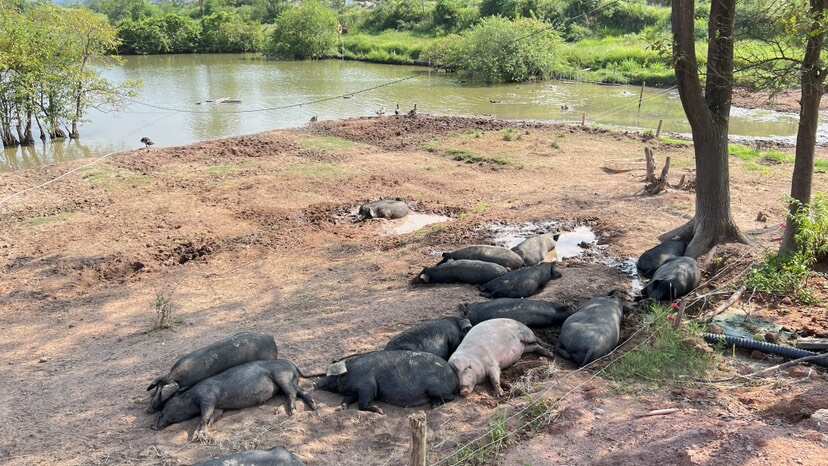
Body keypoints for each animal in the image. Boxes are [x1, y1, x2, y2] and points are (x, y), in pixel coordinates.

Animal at [151, 360, 314, 434]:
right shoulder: (218, 407)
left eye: (163, 410)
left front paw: (199, 434)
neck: (190, 397)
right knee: (300, 391)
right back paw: (312, 405)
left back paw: (292, 411)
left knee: (291, 393)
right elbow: (214, 415)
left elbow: (204, 415)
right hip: (289, 381)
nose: (153, 426)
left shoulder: (208, 397)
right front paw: (209, 426)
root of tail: (293, 365)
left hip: (282, 376)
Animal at [316, 352, 460, 414]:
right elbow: (346, 399)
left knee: (451, 397)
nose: (315, 383)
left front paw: (380, 411)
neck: (349, 373)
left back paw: (434, 406)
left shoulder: (367, 387)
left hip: (435, 388)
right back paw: (434, 406)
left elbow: (362, 404)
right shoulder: (353, 392)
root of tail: (453, 373)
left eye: (330, 376)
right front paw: (339, 408)